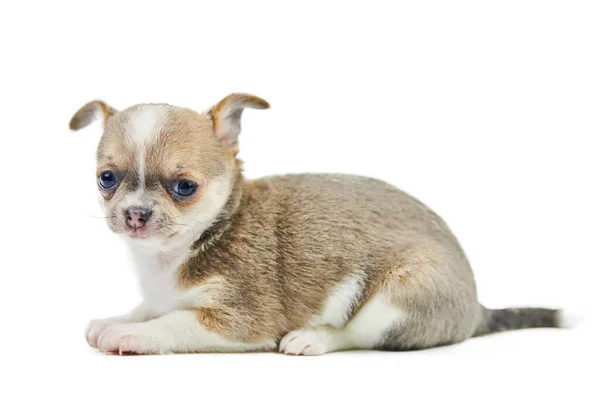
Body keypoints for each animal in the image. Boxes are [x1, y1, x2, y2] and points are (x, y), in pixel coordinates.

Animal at [70, 94, 564, 356]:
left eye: (185, 187)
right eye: (106, 179)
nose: (135, 214)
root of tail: (477, 309)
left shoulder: (241, 320)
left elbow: (173, 321)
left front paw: (130, 333)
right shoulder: (162, 292)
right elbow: (152, 306)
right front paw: (119, 317)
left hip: (397, 299)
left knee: (356, 335)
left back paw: (311, 338)